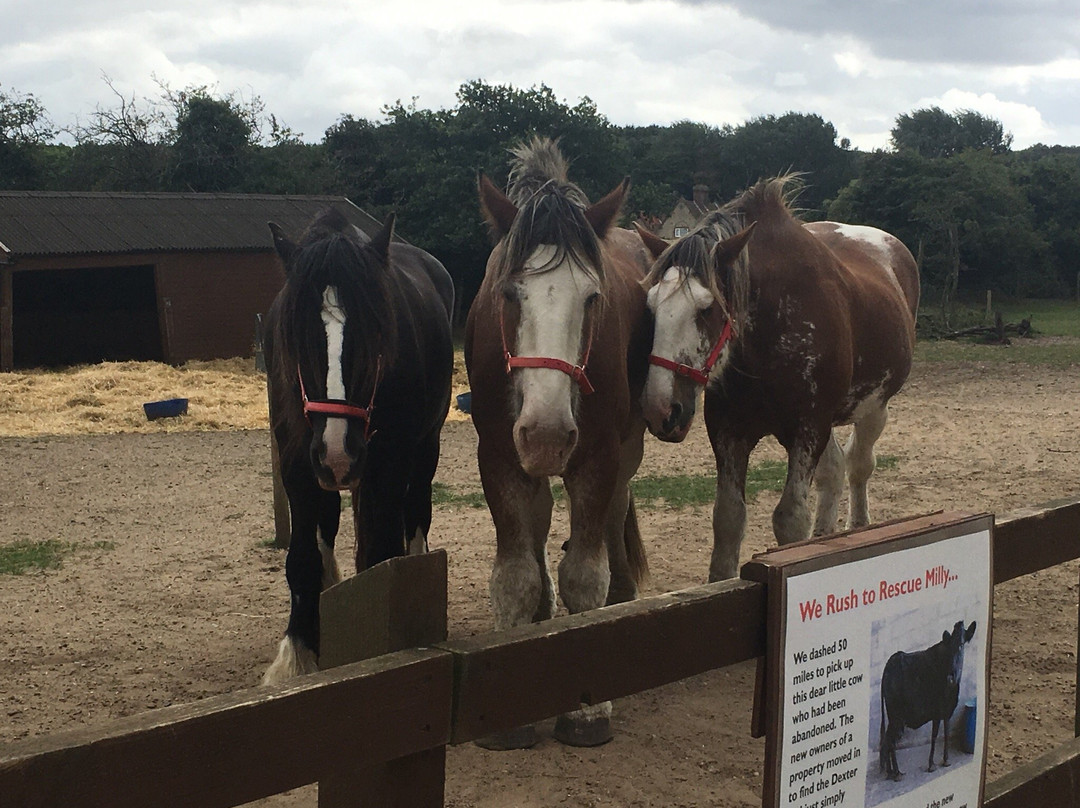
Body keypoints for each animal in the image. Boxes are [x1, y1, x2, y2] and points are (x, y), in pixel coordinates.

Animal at [262, 208, 455, 682]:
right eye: (297, 333)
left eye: (375, 332)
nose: (338, 452)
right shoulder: (297, 461)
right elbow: (302, 558)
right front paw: (300, 654)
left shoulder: (390, 461)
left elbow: (382, 550)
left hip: (424, 449)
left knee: (415, 515)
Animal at [635, 177, 924, 578]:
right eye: (651, 306)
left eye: (707, 308)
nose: (661, 408)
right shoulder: (729, 431)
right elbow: (728, 518)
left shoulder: (808, 429)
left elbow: (790, 519)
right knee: (835, 470)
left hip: (873, 409)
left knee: (859, 465)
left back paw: (859, 526)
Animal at [876, 617, 980, 782]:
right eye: (949, 646)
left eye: (961, 645)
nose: (950, 677)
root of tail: (889, 664)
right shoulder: (939, 709)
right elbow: (935, 735)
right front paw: (932, 765)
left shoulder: (947, 709)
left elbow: (946, 731)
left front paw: (945, 760)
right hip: (896, 715)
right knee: (890, 740)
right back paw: (896, 773)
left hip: (894, 716)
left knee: (887, 738)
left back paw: (891, 771)